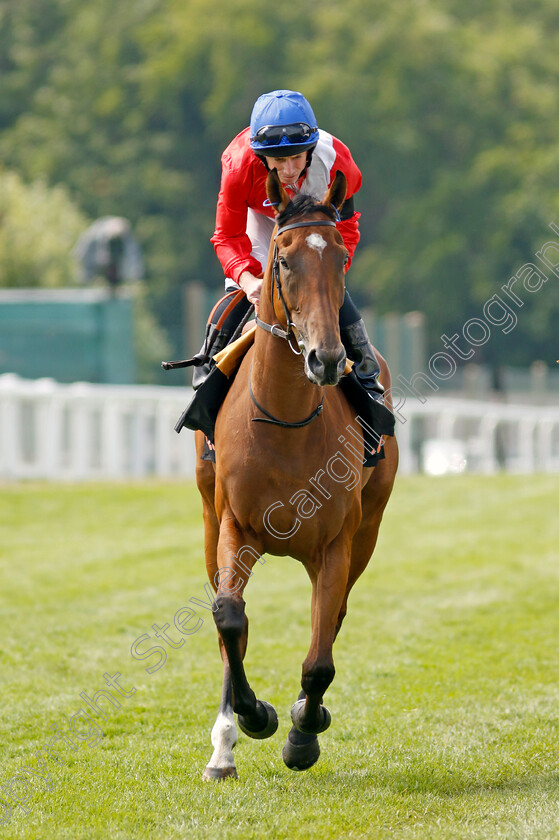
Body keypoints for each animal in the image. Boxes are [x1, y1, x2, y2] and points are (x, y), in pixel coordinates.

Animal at [196, 169, 398, 780]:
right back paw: (223, 746)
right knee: (227, 624)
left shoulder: (336, 542)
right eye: (283, 260)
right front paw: (252, 716)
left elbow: (320, 657)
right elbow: (229, 618)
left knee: (330, 622)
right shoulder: (235, 527)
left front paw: (303, 732)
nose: (327, 358)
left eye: (340, 259)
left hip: (366, 532)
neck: (284, 421)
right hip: (209, 518)